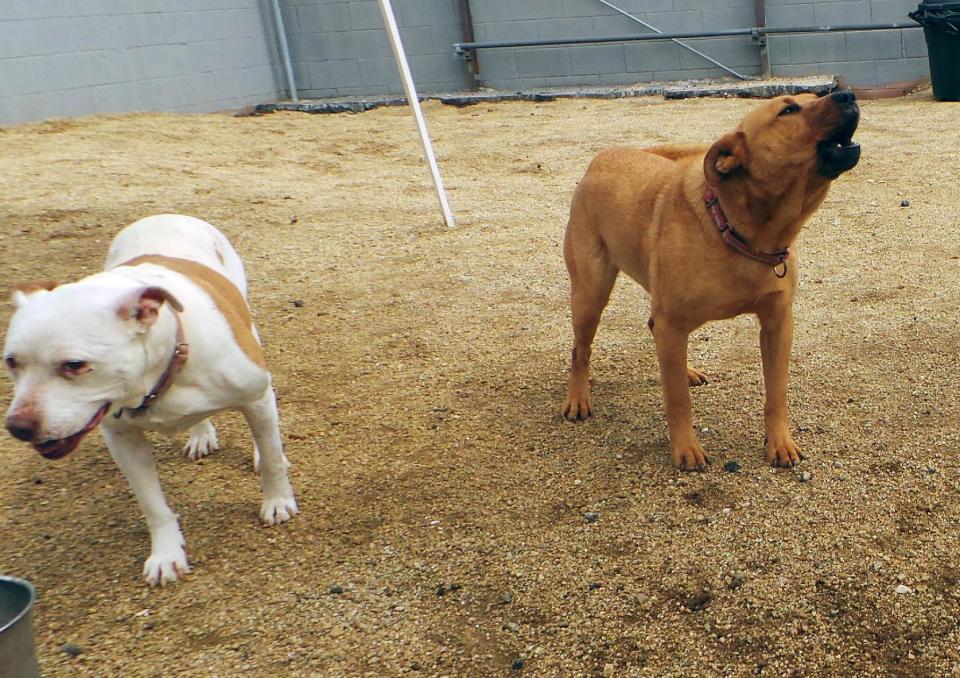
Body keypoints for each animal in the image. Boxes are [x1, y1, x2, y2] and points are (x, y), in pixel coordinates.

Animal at [2, 215, 296, 588]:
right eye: (11, 362)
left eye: (74, 365)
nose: (18, 427)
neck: (162, 369)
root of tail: (166, 215)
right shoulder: (122, 438)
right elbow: (152, 505)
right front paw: (166, 554)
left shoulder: (255, 395)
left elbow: (272, 460)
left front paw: (277, 501)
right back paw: (200, 435)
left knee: (265, 428)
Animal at [560, 90, 860, 470]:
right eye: (789, 110)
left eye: (815, 97)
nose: (848, 94)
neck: (742, 231)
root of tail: (602, 157)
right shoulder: (672, 322)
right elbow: (677, 399)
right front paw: (686, 448)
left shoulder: (778, 324)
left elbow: (776, 392)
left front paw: (780, 443)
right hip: (591, 294)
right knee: (580, 350)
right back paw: (578, 397)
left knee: (654, 335)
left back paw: (684, 370)